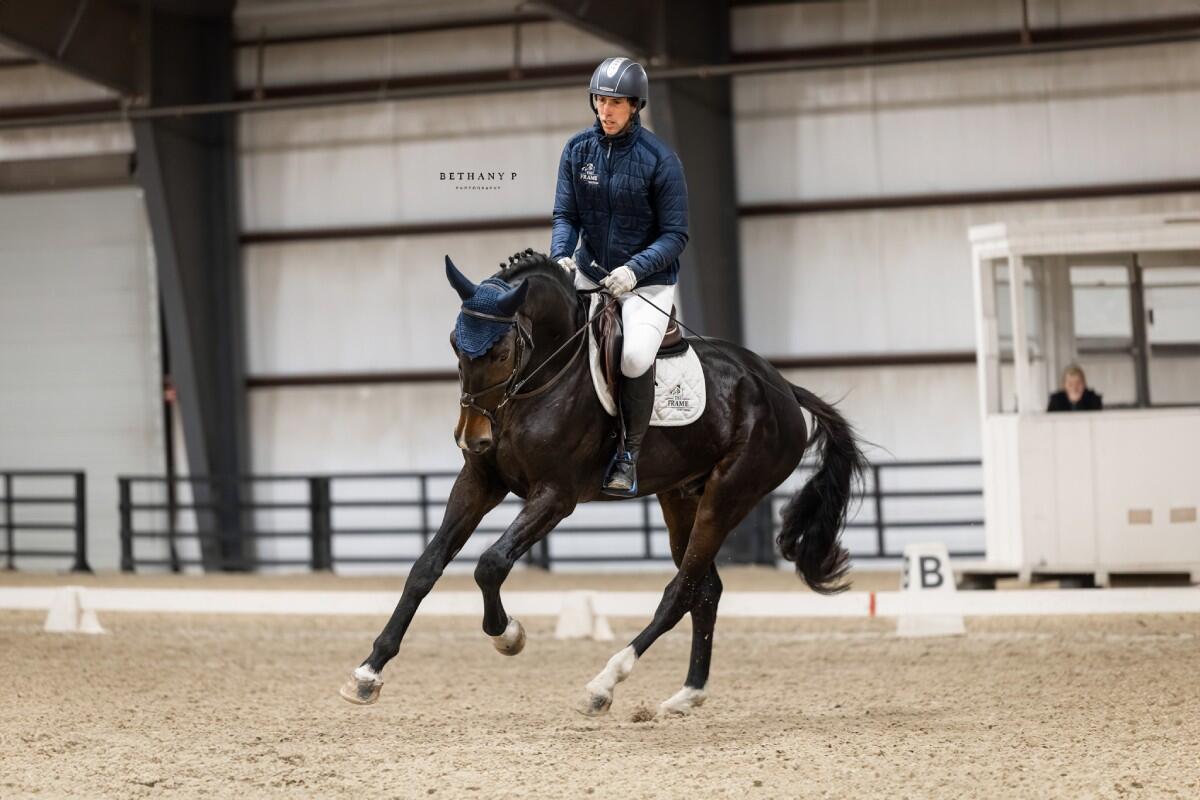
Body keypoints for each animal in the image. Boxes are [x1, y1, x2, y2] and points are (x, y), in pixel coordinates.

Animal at [338, 250, 864, 719]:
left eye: (501, 351)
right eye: (454, 342)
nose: (473, 437)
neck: (542, 377)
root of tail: (780, 386)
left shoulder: (556, 495)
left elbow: (490, 564)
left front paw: (509, 635)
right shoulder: (480, 480)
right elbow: (425, 568)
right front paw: (368, 673)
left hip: (728, 495)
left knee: (679, 592)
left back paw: (603, 685)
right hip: (680, 496)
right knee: (705, 589)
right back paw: (687, 695)